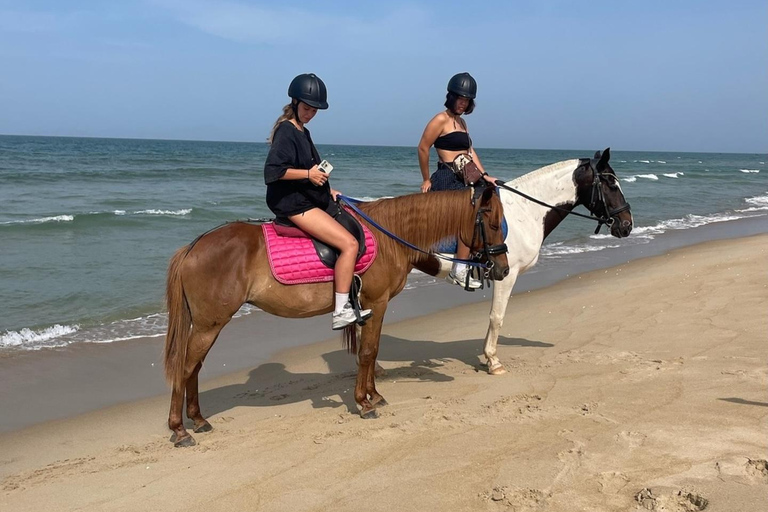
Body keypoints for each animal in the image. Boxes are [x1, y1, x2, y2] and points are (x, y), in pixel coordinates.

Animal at [163, 184, 510, 447]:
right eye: (493, 224)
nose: (503, 269)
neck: (388, 236)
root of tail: (192, 248)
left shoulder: (375, 307)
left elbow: (373, 352)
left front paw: (374, 395)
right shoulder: (376, 303)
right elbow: (367, 352)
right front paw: (364, 403)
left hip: (208, 325)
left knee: (193, 368)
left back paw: (198, 419)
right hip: (209, 324)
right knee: (186, 368)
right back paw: (180, 430)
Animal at [415, 148, 633, 374]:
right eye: (611, 184)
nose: (627, 224)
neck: (524, 211)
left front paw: (488, 357)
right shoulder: (507, 275)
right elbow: (497, 317)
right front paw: (493, 360)